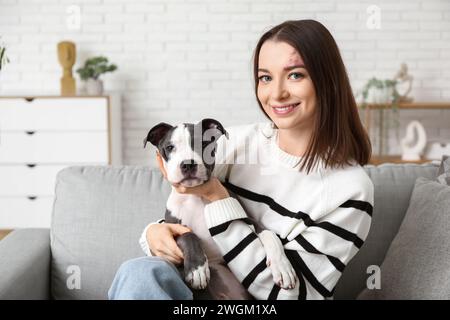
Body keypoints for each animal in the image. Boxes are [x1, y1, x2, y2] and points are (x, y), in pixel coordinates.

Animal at [144, 118, 298, 300]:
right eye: (169, 147)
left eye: (203, 143)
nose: (188, 164)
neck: (196, 195)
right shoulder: (172, 229)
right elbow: (188, 235)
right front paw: (197, 269)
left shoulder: (251, 221)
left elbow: (271, 236)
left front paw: (283, 268)